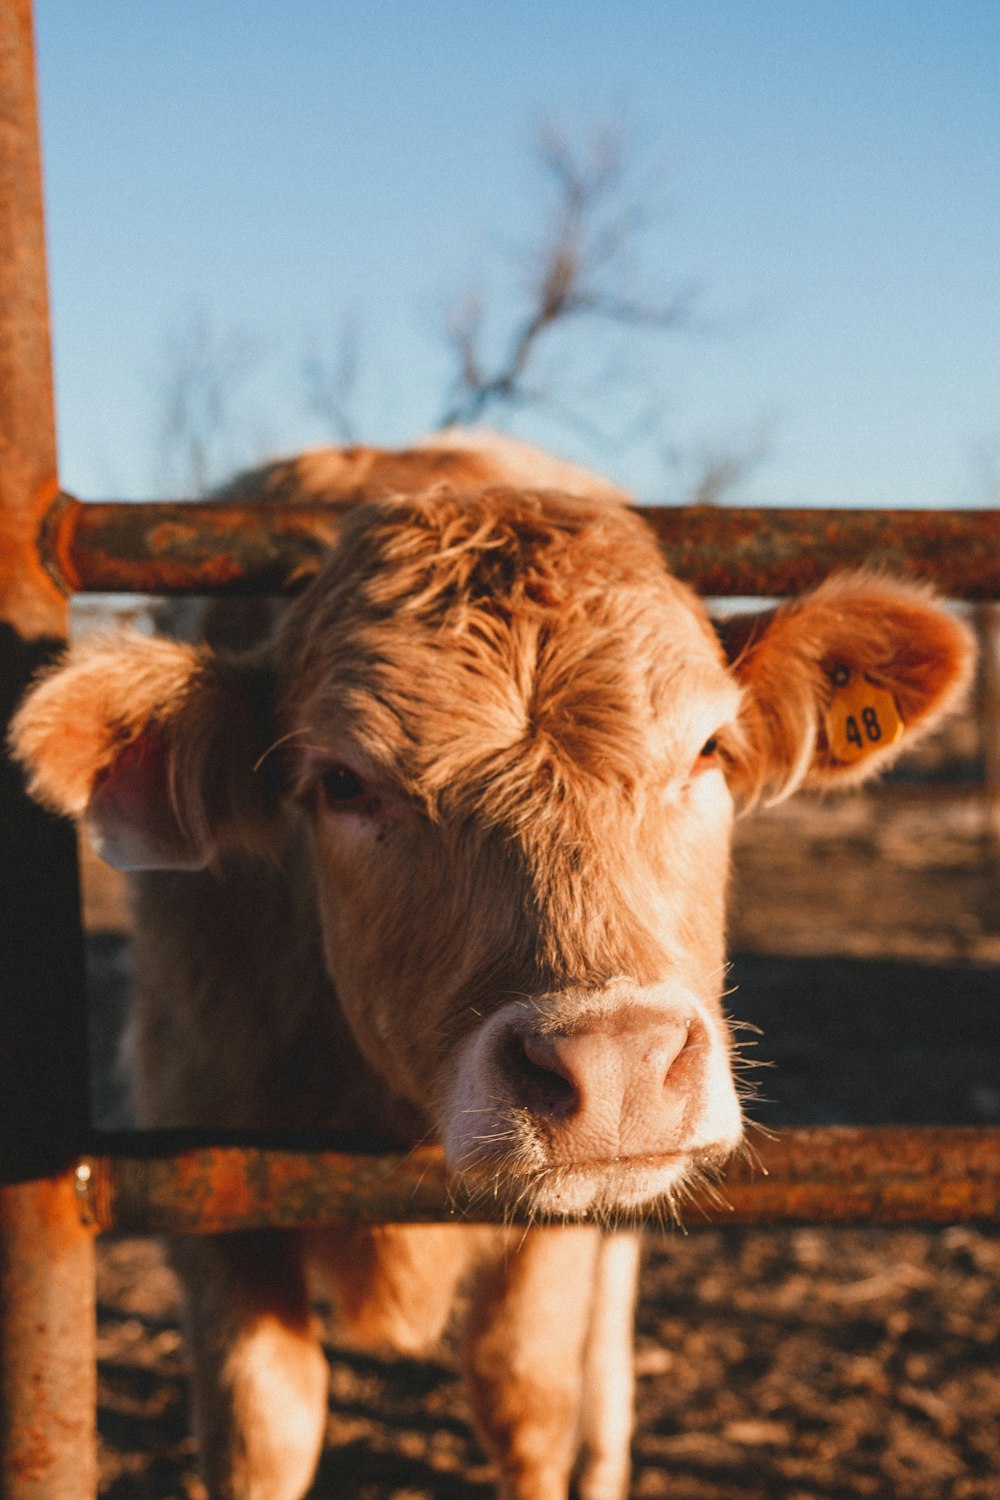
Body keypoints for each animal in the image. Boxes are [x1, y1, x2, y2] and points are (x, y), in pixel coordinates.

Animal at [11, 429, 971, 1494]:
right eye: (342, 782)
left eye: (707, 750)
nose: (621, 1063)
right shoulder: (205, 1184)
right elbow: (266, 1426)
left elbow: (528, 1393)